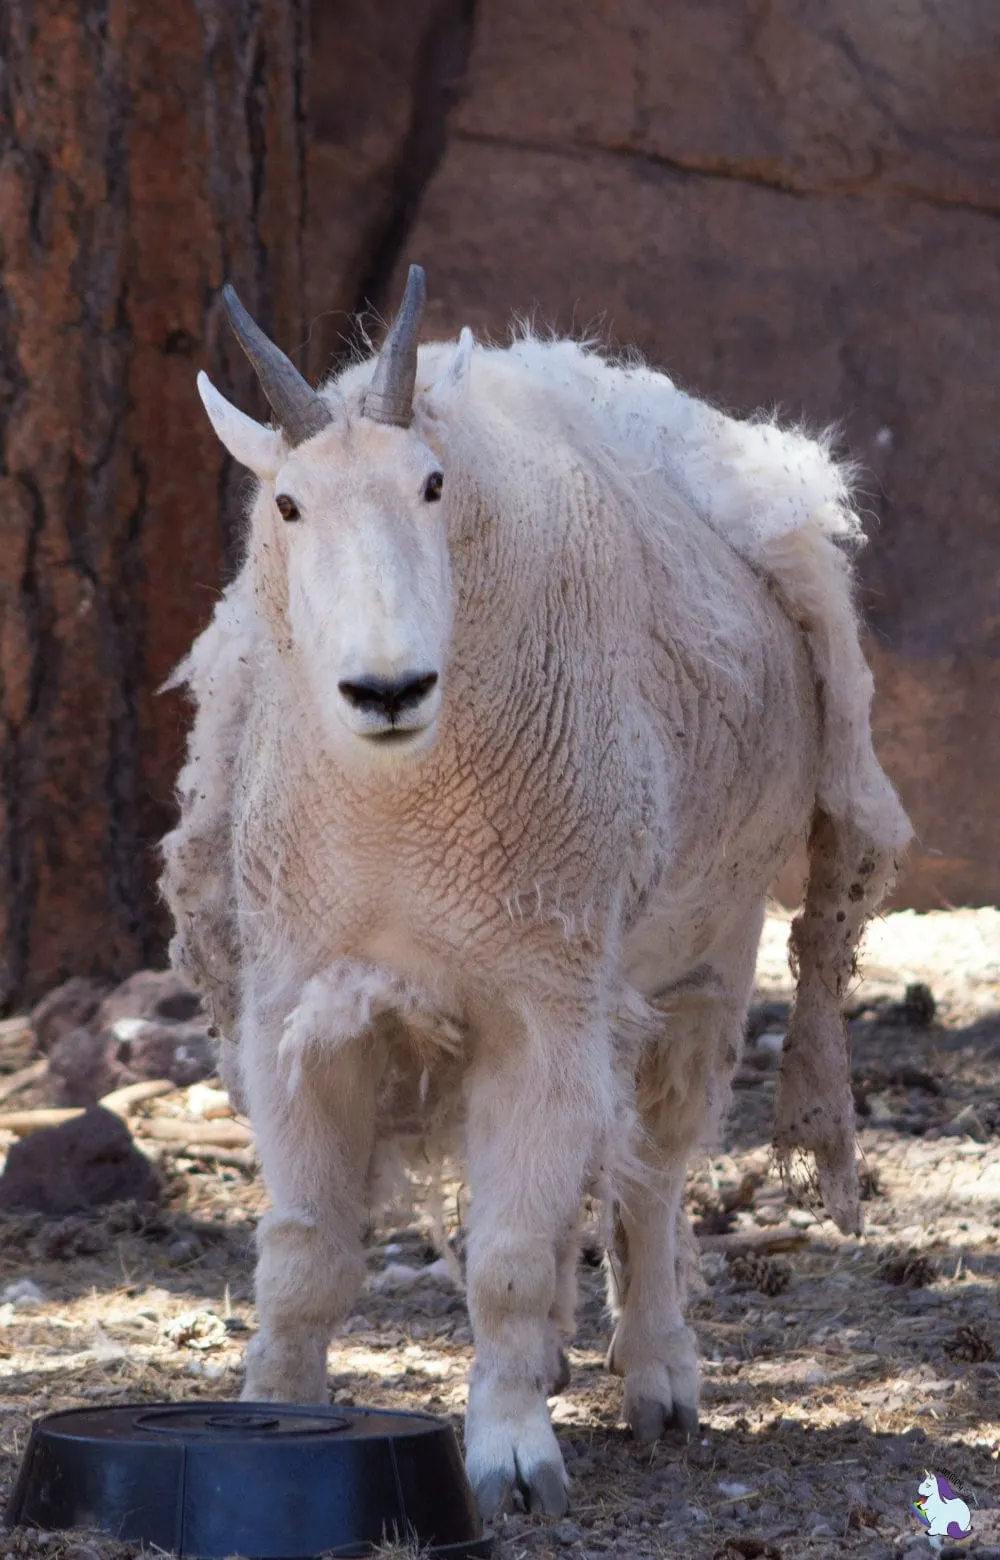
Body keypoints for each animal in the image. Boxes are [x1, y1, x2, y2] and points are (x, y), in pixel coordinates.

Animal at [159, 262, 911, 1516]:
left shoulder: (540, 996)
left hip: (712, 944)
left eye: (431, 485)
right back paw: (566, 1353)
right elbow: (305, 1255)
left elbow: (510, 1255)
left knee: (651, 1168)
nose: (388, 688)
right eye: (288, 506)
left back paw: (656, 1375)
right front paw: (276, 1412)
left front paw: (511, 1459)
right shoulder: (300, 1007)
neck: (396, 805)